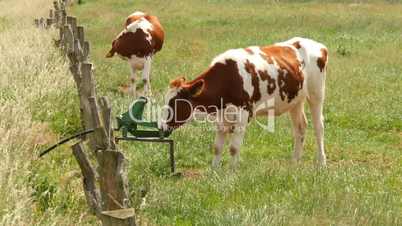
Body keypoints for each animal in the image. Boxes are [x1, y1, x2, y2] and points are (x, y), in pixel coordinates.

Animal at [159, 36, 328, 168]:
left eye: (175, 103)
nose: (160, 127)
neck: (228, 78)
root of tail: (319, 45)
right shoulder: (221, 118)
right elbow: (217, 147)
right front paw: (214, 171)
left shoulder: (243, 116)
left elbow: (234, 148)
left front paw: (231, 173)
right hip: (295, 101)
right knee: (300, 127)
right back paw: (294, 162)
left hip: (316, 94)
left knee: (319, 127)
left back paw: (321, 162)